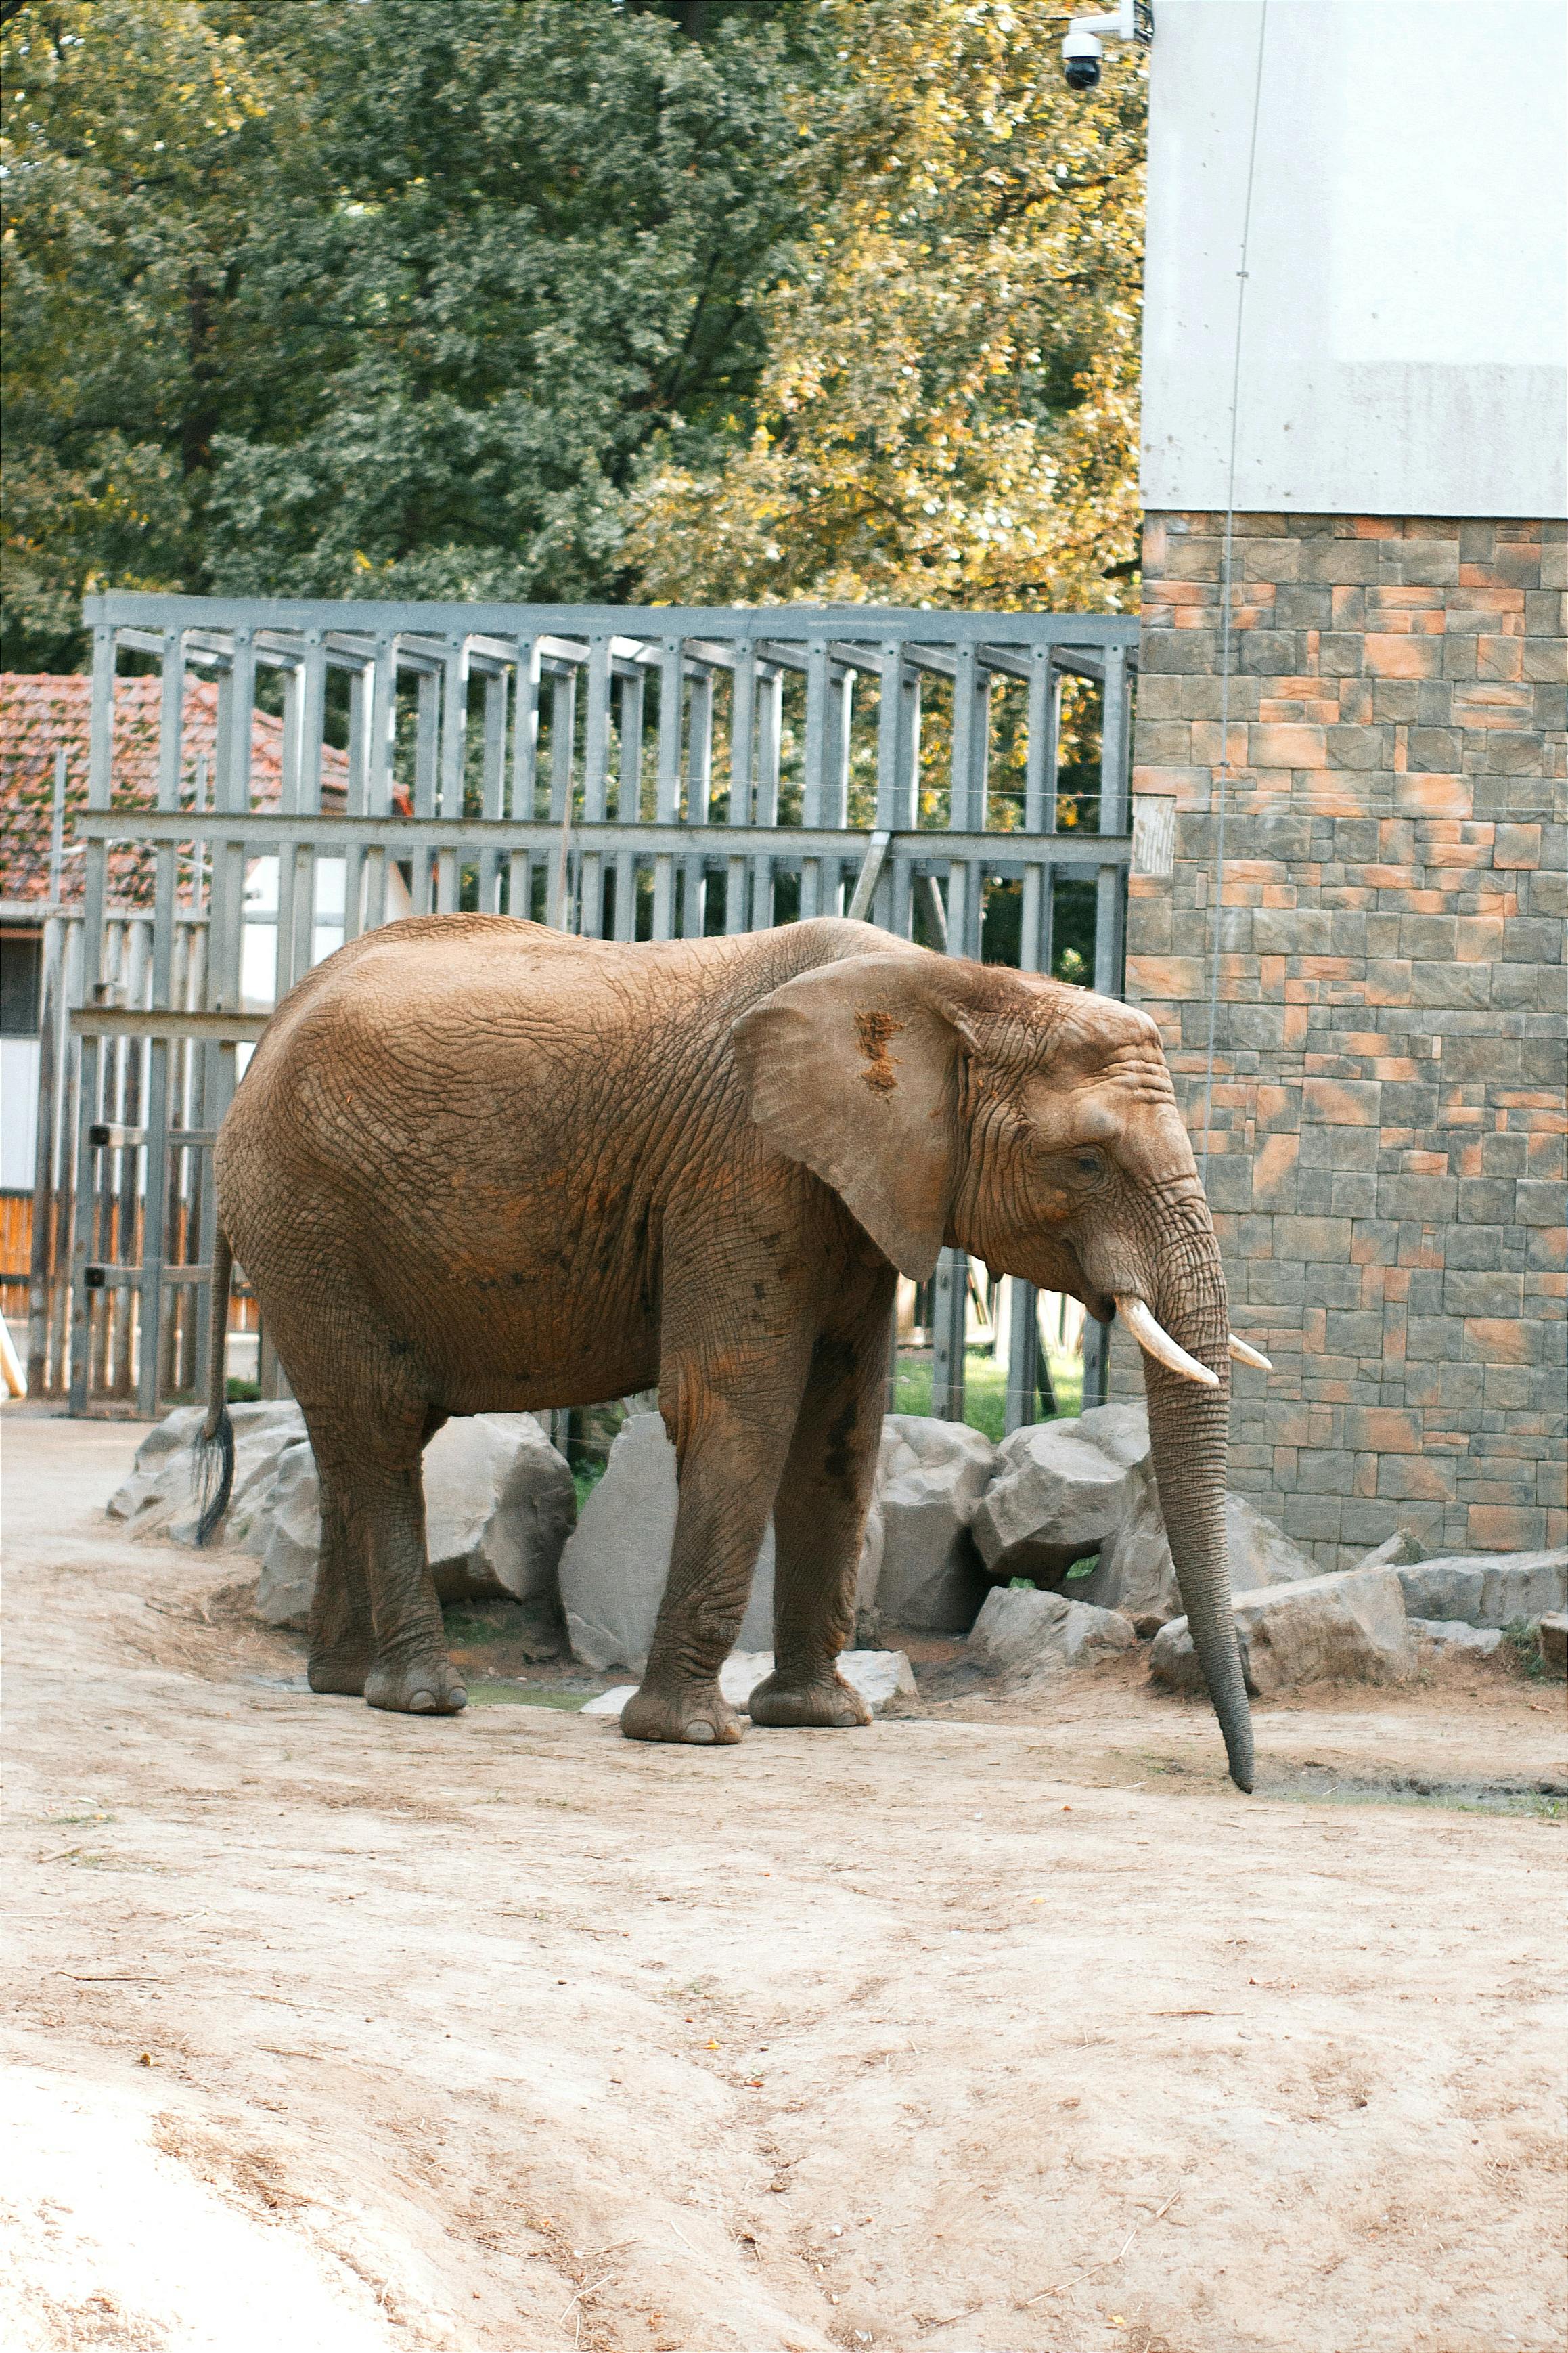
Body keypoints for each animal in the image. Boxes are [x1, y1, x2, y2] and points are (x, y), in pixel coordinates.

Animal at [192, 912, 1259, 1778]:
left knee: (360, 1433)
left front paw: (821, 1719)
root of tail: (261, 1038)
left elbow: (844, 1424)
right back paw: (422, 1696)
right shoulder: (744, 1166)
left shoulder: (854, 1191)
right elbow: (738, 1400)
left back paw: (342, 1683)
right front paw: (693, 1736)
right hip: (305, 1211)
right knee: (377, 1423)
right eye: (1085, 1161)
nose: (1239, 1782)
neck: (948, 984)